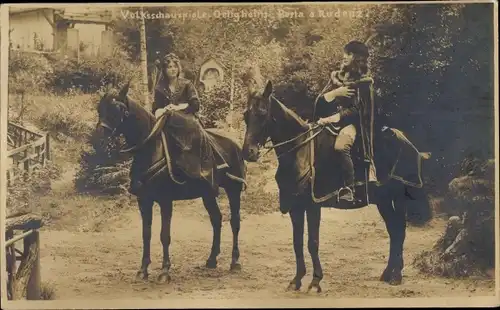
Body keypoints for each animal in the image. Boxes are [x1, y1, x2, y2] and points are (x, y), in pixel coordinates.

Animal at [94, 82, 247, 284]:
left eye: (118, 109)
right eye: (100, 108)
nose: (99, 137)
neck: (150, 151)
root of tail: (235, 144)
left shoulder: (165, 201)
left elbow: (164, 235)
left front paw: (165, 271)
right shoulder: (144, 201)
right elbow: (146, 234)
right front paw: (143, 269)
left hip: (233, 190)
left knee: (235, 222)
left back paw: (235, 262)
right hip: (208, 194)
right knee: (216, 219)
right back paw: (212, 259)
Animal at [242, 80, 434, 294]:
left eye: (262, 113)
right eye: (245, 115)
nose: (248, 153)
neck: (300, 151)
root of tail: (406, 141)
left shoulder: (313, 205)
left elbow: (312, 242)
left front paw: (315, 281)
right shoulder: (296, 207)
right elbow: (297, 242)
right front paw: (296, 280)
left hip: (398, 197)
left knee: (399, 230)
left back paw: (396, 276)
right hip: (383, 200)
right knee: (393, 230)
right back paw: (387, 273)